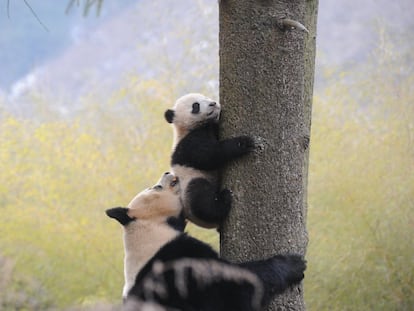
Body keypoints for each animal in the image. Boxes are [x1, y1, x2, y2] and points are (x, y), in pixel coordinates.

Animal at [106, 173, 308, 311]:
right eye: (156, 187)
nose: (168, 172)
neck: (149, 229)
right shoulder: (180, 262)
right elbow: (233, 288)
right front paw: (293, 264)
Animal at [165, 92, 256, 229]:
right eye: (195, 105)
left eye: (205, 98)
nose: (212, 103)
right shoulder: (188, 145)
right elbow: (209, 156)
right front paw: (243, 143)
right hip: (190, 185)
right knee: (201, 199)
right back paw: (223, 200)